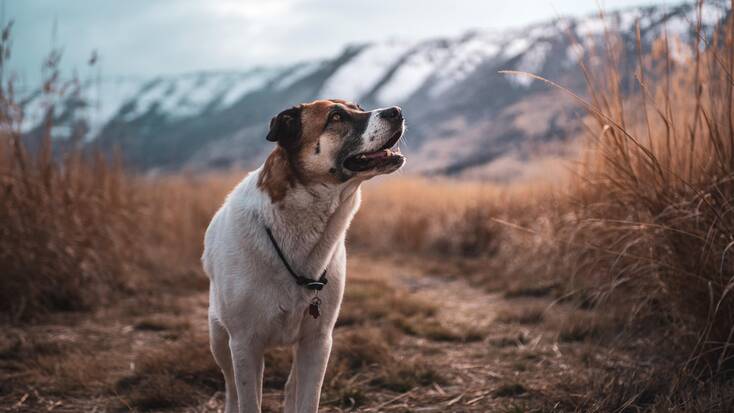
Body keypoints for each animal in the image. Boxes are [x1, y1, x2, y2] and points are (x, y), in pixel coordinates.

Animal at [204, 100, 406, 412]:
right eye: (336, 117)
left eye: (358, 106)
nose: (397, 111)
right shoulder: (244, 344)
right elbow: (248, 399)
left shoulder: (318, 341)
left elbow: (308, 398)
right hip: (218, 336)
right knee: (231, 388)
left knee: (291, 386)